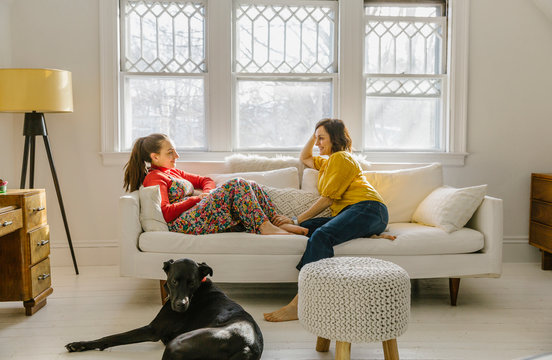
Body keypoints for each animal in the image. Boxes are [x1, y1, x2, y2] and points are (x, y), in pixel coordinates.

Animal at [64, 258, 264, 360]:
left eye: (192, 283)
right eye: (174, 281)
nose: (181, 305)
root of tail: (247, 346)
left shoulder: (153, 330)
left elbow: (113, 337)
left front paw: (80, 344)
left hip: (178, 343)